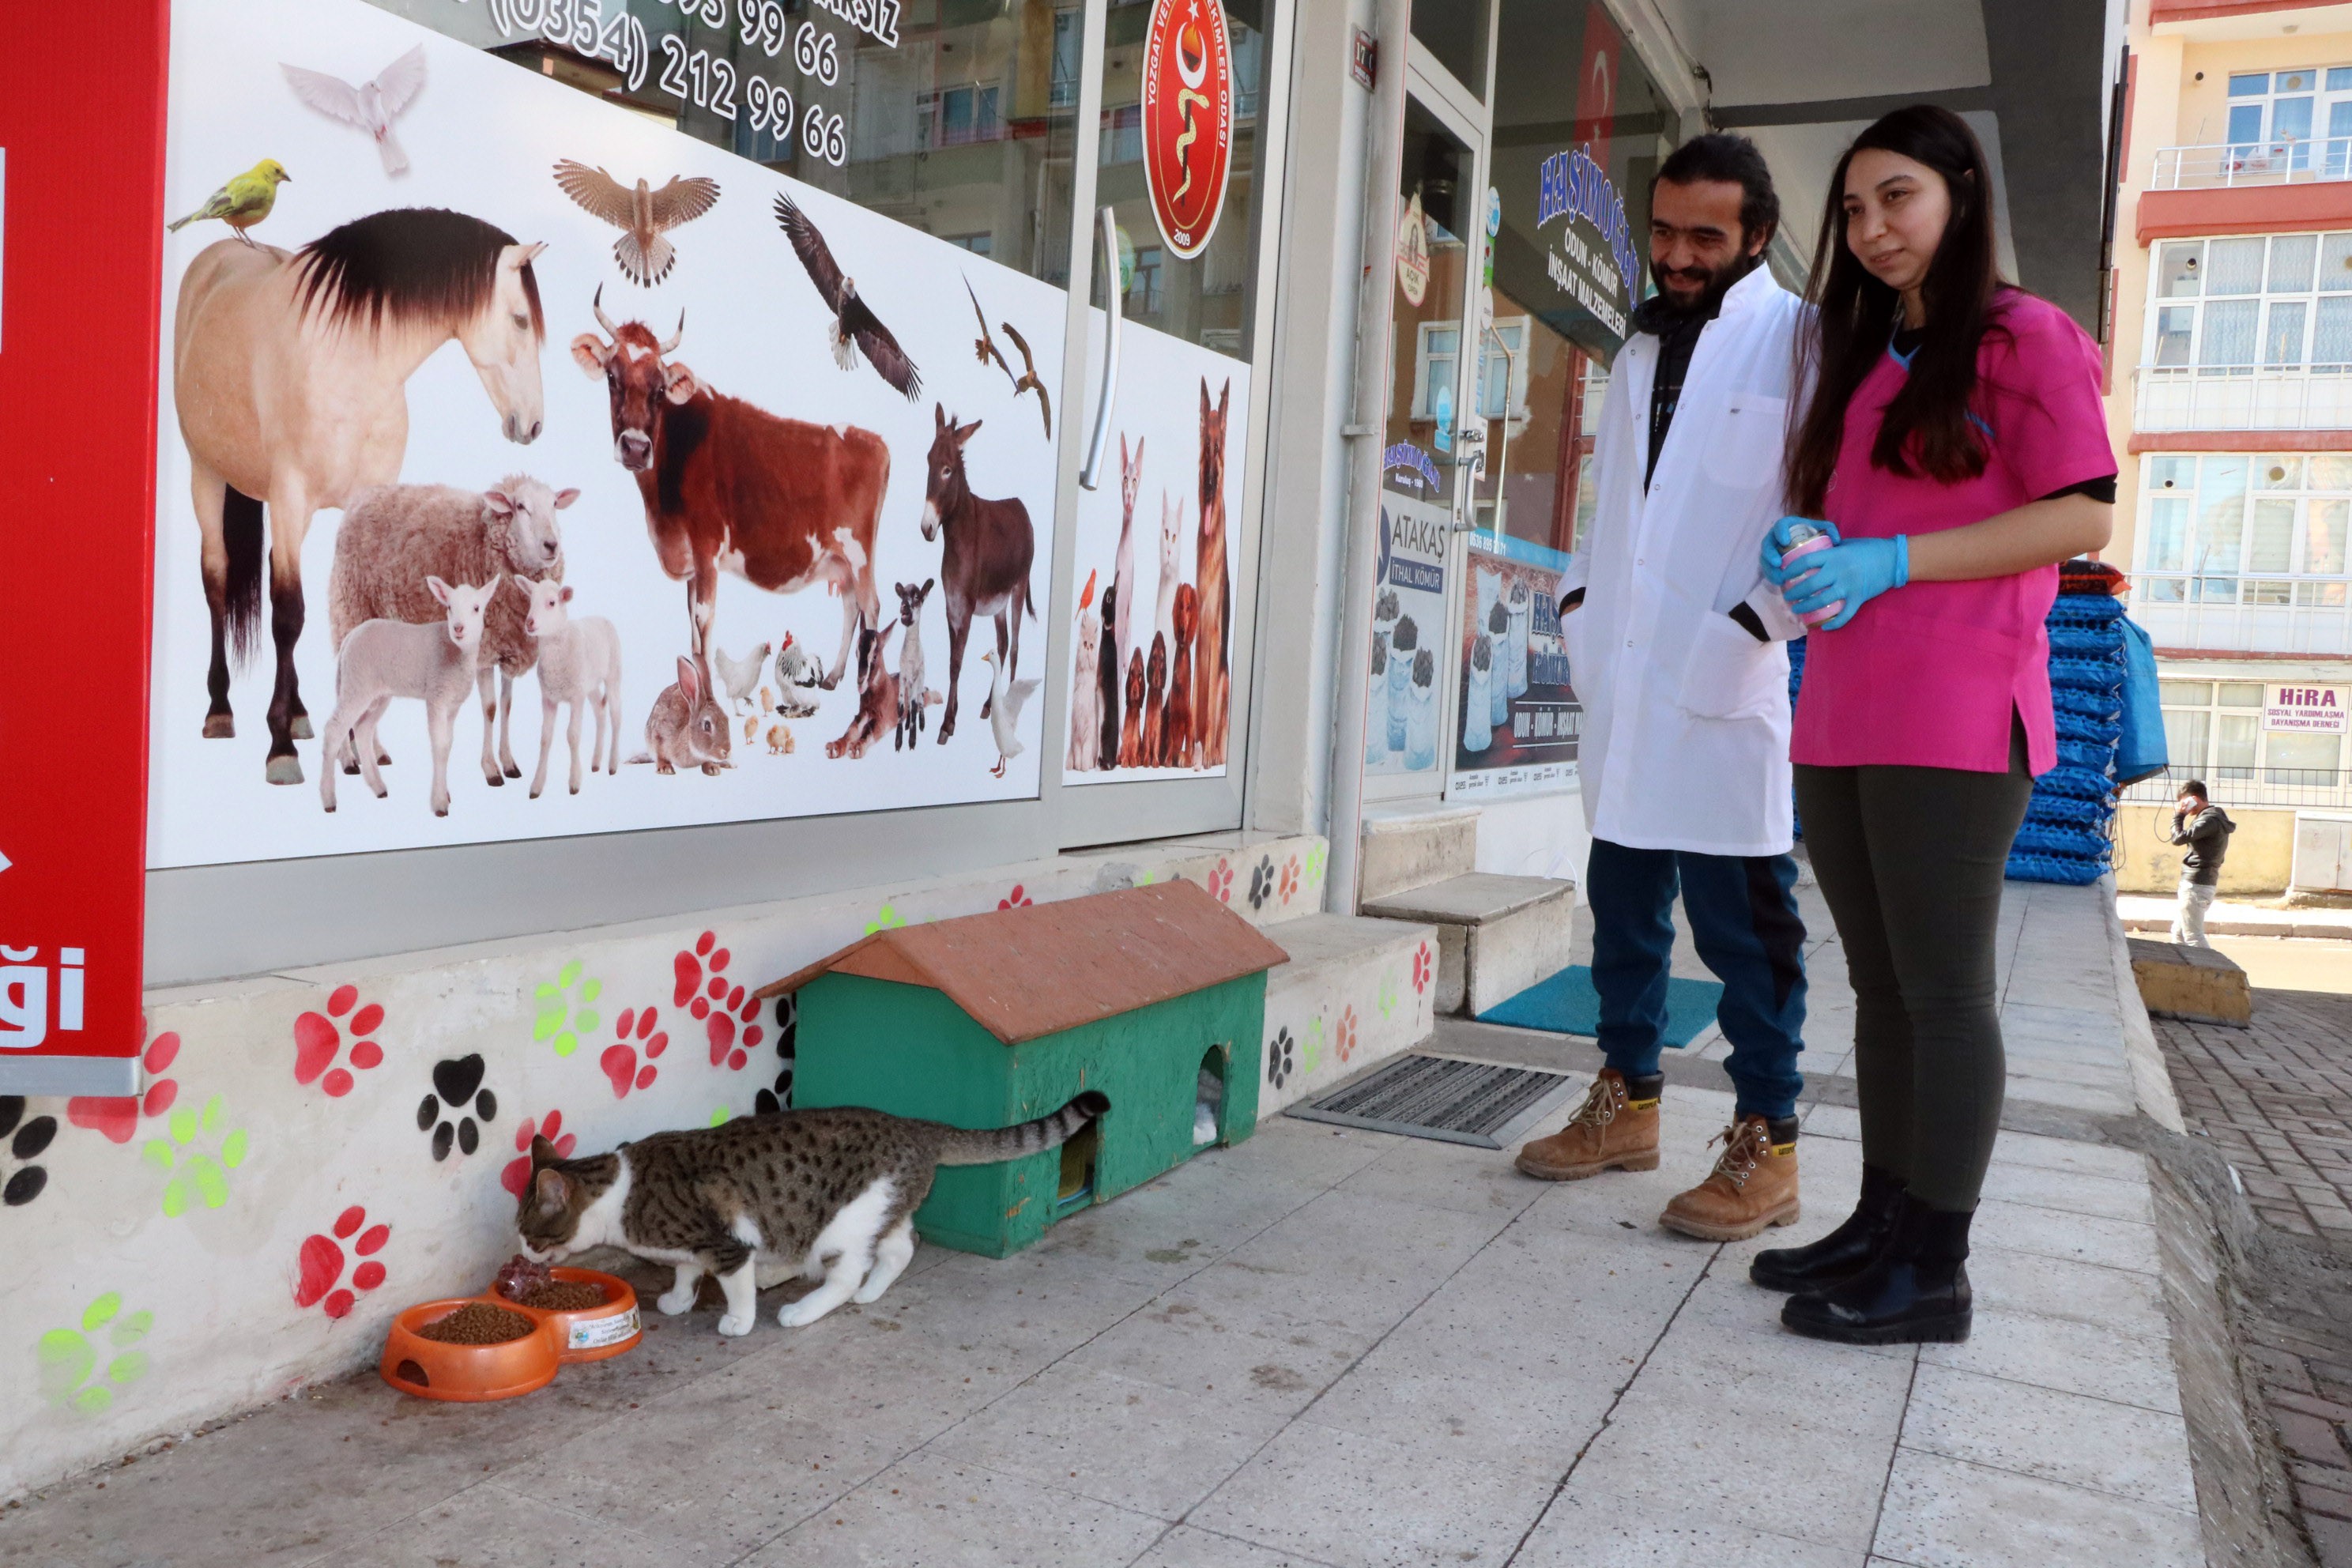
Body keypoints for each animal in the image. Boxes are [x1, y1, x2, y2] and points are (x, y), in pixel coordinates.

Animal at [519, 1091, 1105, 1335]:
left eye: (531, 1233)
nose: (522, 1253)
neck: (621, 1191)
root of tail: (915, 1127)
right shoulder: (690, 1244)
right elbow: (686, 1270)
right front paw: (679, 1300)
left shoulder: (728, 1245)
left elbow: (735, 1285)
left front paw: (737, 1321)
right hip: (879, 1208)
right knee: (901, 1248)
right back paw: (873, 1292)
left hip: (840, 1225)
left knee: (846, 1275)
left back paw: (804, 1311)